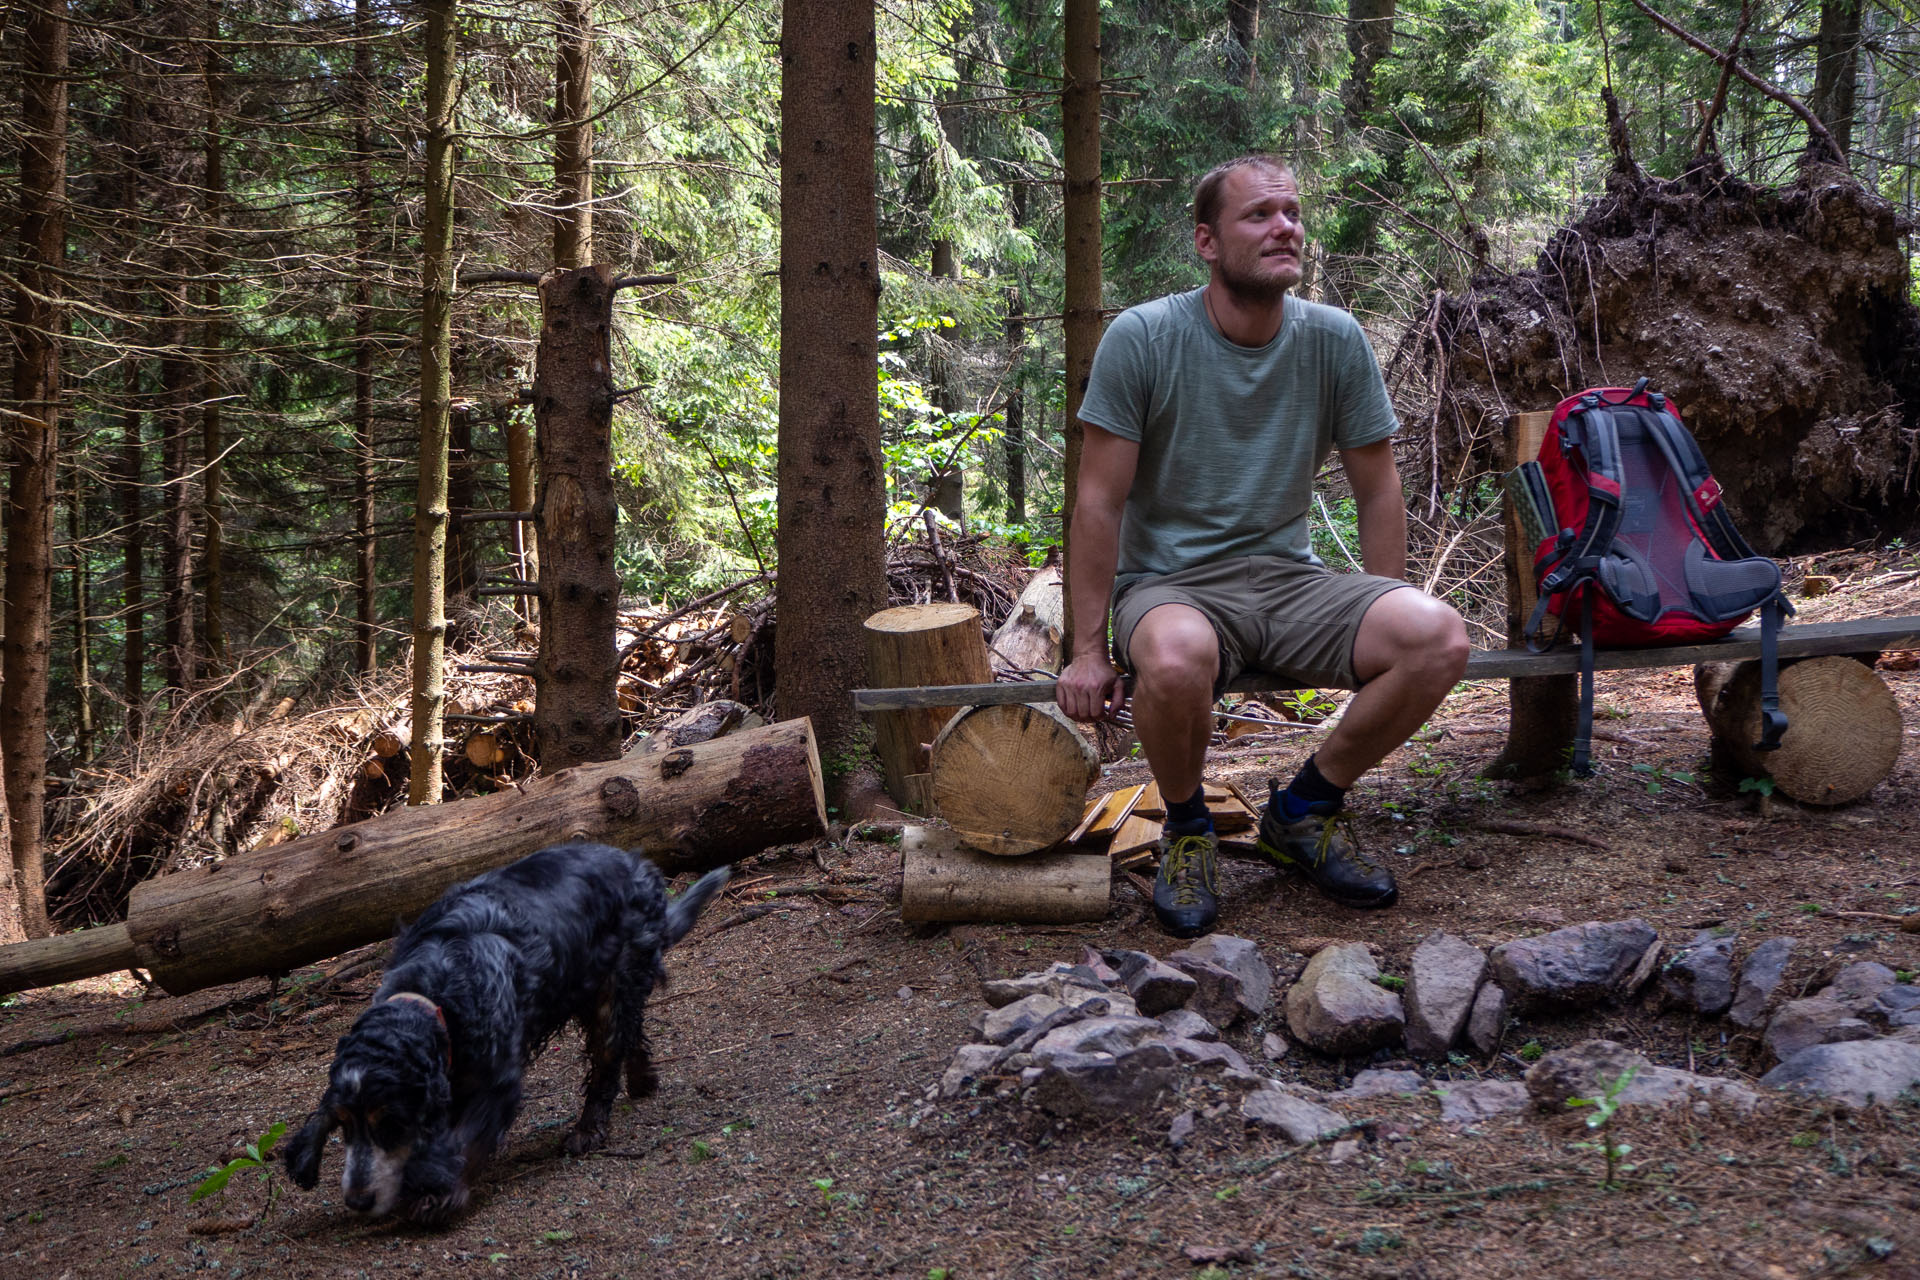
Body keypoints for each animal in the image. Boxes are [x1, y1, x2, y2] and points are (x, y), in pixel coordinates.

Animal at [282, 840, 725, 1220]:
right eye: (343, 1125)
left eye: (390, 1123)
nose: (357, 1200)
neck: (433, 991)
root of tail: (638, 863)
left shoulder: (496, 1080)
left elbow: (467, 1139)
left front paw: (441, 1195)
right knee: (630, 1035)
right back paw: (643, 1079)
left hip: (615, 983)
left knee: (608, 1057)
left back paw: (588, 1131)